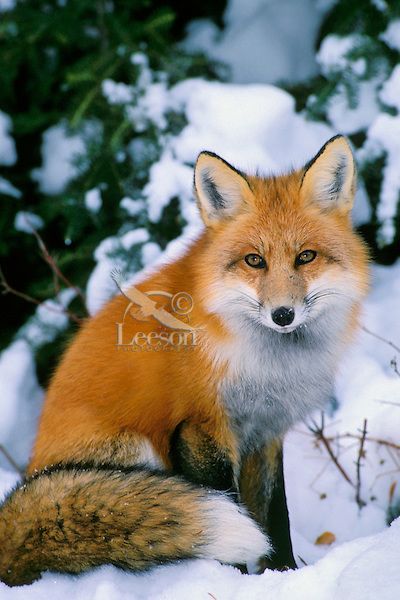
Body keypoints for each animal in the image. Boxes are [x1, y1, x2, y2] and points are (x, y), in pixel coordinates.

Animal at [0, 132, 368, 584]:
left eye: (306, 257)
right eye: (254, 260)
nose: (283, 315)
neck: (267, 366)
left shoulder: (265, 434)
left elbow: (274, 516)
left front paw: (282, 574)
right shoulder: (200, 428)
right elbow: (231, 503)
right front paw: (230, 582)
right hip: (135, 453)